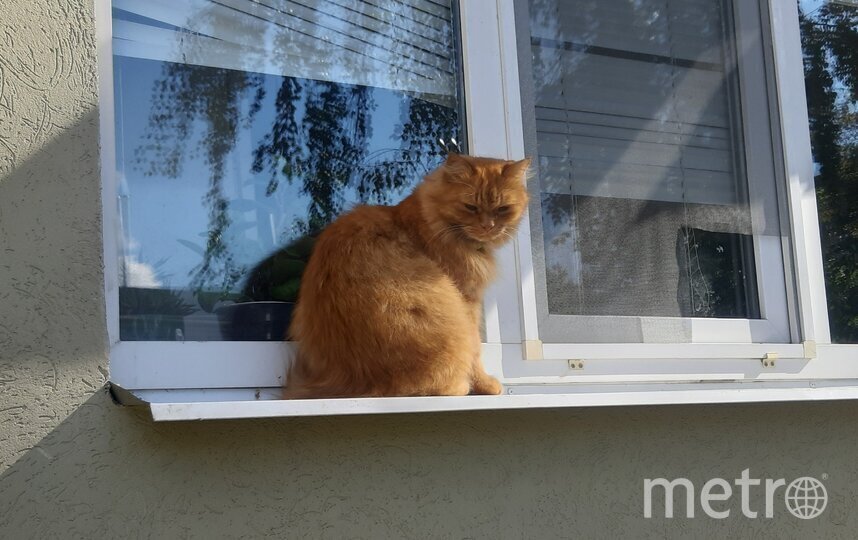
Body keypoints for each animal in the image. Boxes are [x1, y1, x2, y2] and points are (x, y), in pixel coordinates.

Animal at [284, 153, 531, 398]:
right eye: (470, 207)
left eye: (503, 209)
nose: (488, 226)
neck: (429, 220)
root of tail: (355, 382)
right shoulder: (468, 301)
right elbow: (476, 350)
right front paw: (485, 384)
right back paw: (462, 386)